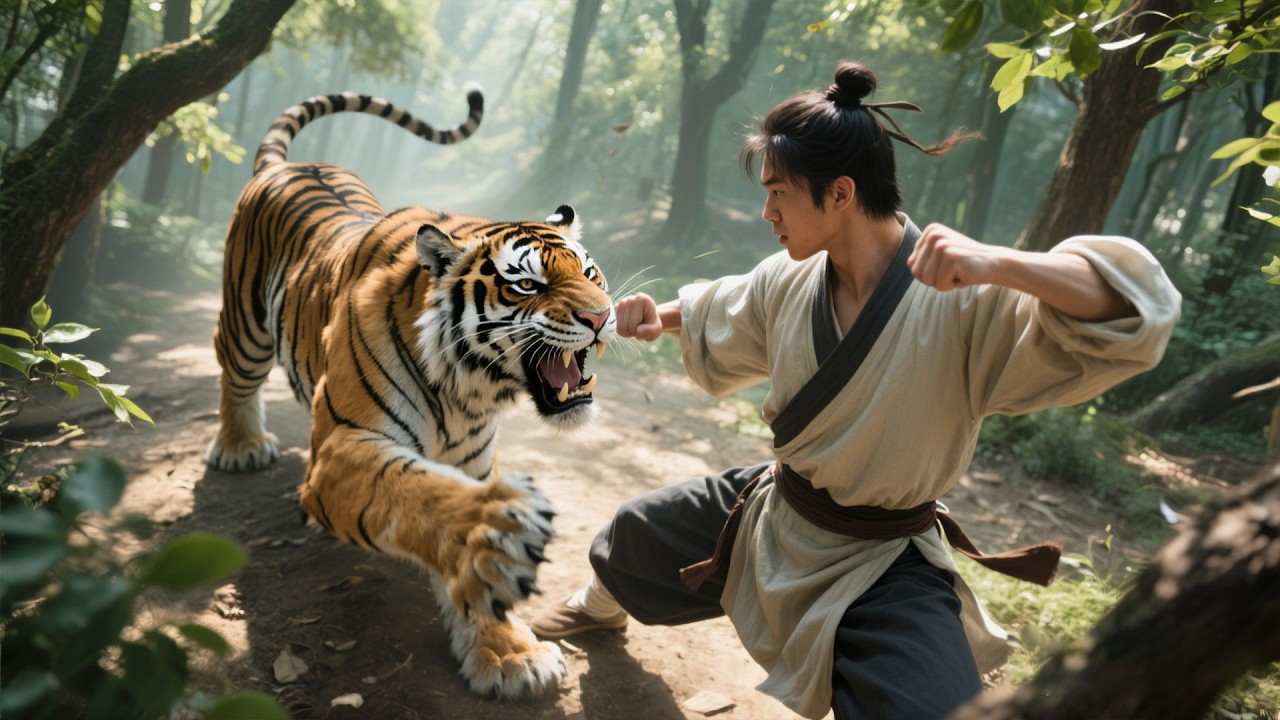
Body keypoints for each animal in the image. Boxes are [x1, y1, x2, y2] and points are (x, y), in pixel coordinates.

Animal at [205, 85, 615, 699]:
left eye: (590, 273)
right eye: (526, 284)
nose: (602, 316)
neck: (471, 390)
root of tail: (286, 165)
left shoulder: (473, 461)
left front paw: (508, 654)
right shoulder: (342, 446)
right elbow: (412, 491)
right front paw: (494, 536)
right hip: (245, 321)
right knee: (234, 373)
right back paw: (240, 446)